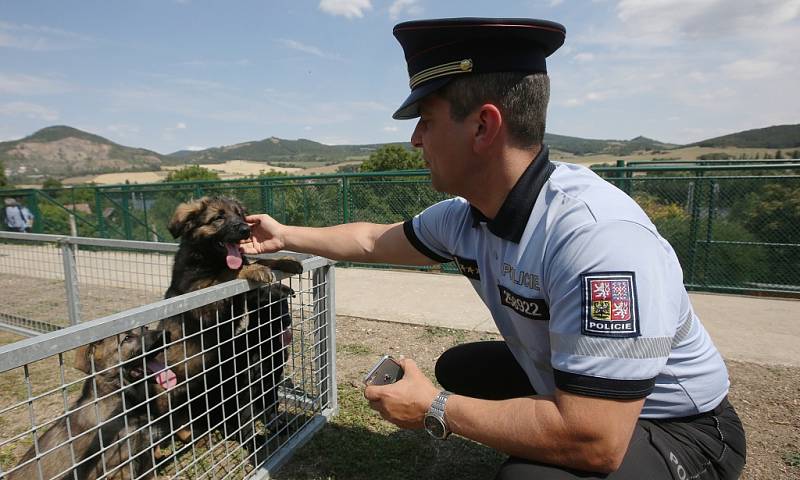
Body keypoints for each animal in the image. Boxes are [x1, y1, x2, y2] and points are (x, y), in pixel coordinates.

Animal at [152, 197, 300, 464]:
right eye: (218, 218)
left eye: (240, 215)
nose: (245, 230)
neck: (207, 258)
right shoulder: (203, 298)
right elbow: (229, 272)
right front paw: (251, 270)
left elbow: (257, 259)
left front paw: (285, 260)